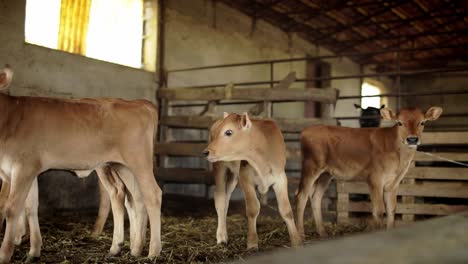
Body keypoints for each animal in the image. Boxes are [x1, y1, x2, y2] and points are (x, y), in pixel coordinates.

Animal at [203, 112, 302, 249]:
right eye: (217, 132)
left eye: (228, 132)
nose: (206, 152)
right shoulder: (245, 177)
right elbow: (253, 208)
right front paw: (252, 243)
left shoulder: (281, 178)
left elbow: (286, 210)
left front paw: (296, 241)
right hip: (220, 167)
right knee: (220, 199)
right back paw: (222, 237)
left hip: (233, 176)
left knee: (226, 199)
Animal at [296, 105, 442, 237]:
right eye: (399, 123)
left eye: (422, 122)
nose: (412, 139)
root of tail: (308, 130)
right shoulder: (375, 179)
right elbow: (379, 210)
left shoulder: (393, 183)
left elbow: (391, 209)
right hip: (311, 167)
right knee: (301, 196)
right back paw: (300, 235)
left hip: (326, 174)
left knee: (316, 197)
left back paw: (322, 233)